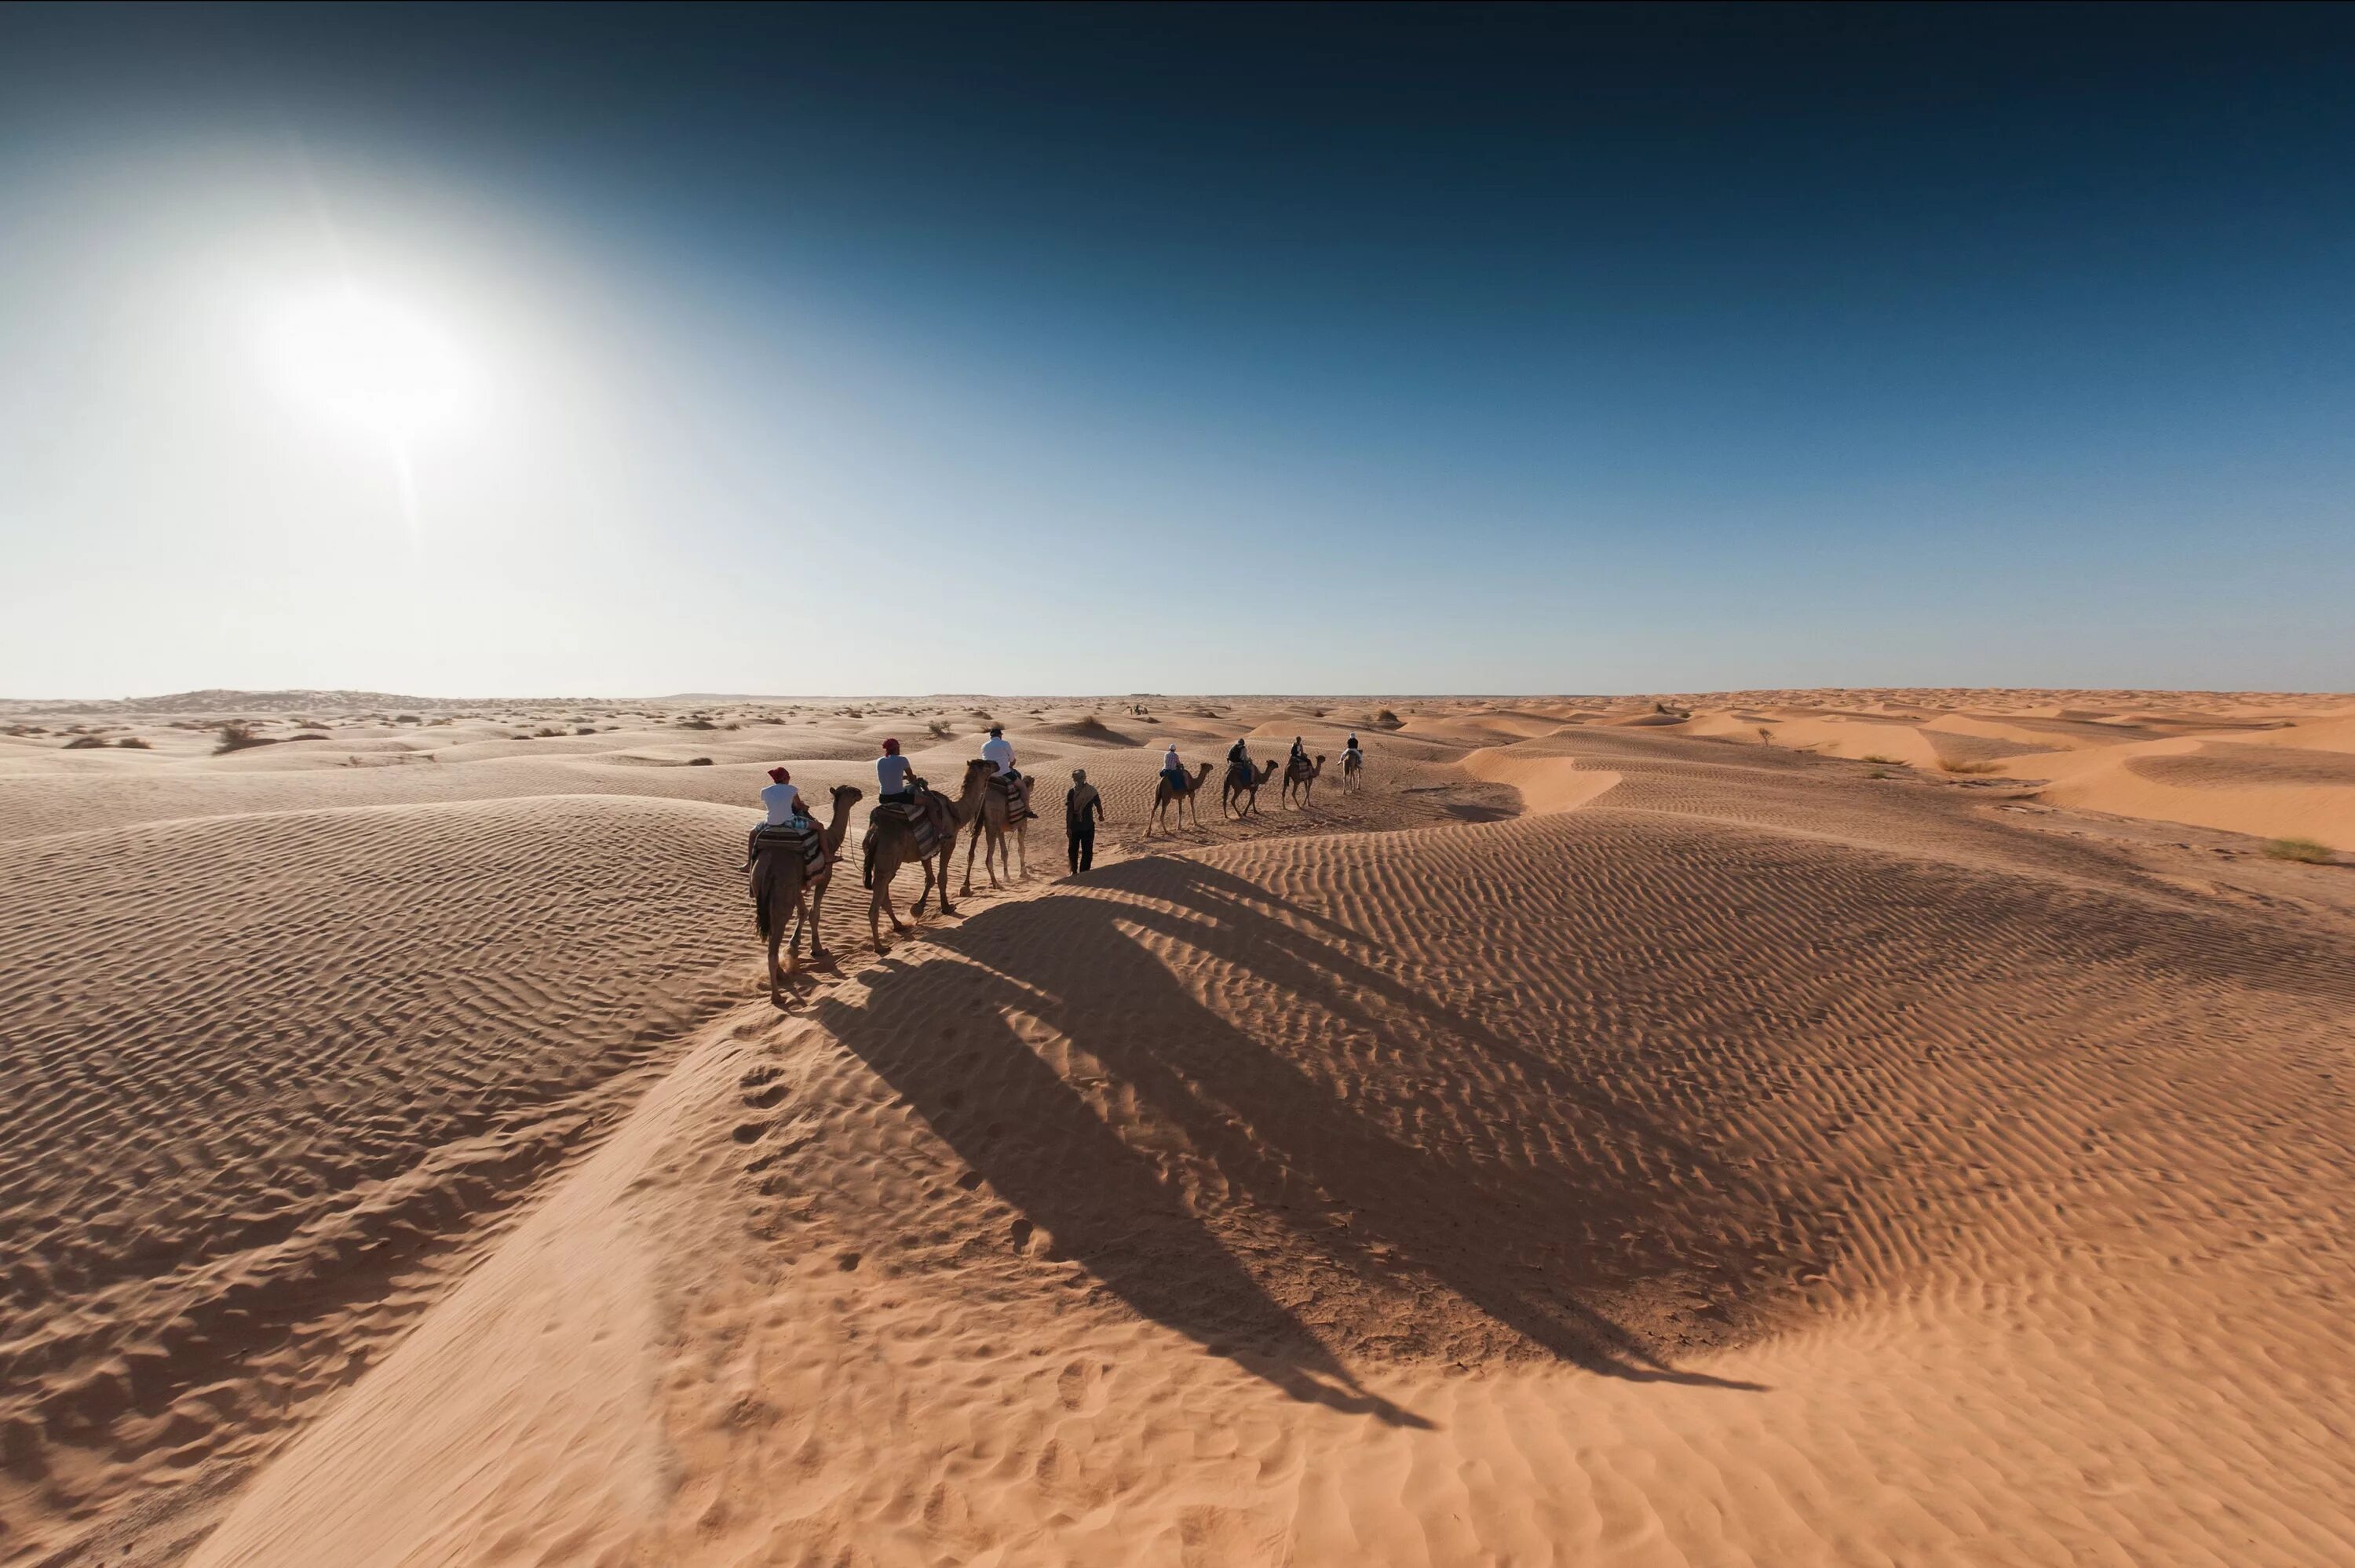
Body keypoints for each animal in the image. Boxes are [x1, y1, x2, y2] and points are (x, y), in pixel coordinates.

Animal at [749, 782, 862, 989]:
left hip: (764, 886)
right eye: (851, 791)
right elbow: (814, 913)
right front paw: (817, 948)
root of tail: (769, 865)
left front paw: (794, 945)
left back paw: (780, 973)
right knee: (777, 930)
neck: (831, 840)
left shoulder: (799, 886)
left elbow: (802, 911)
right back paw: (779, 977)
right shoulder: (825, 878)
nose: (860, 793)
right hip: (783, 890)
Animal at [862, 753, 989, 946]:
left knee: (883, 894)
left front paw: (917, 908)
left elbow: (929, 878)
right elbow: (942, 877)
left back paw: (899, 925)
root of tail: (874, 833)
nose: (997, 764)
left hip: (884, 863)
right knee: (876, 904)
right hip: (888, 860)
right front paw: (947, 907)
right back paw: (880, 947)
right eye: (986, 764)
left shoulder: (925, 849)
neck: (956, 812)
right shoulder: (949, 843)